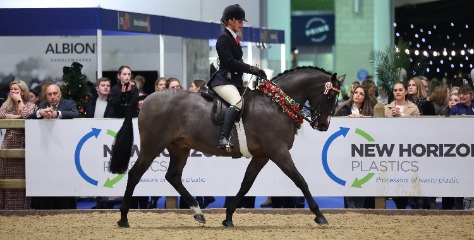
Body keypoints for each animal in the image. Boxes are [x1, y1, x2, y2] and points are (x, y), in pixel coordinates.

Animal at [109, 65, 342, 227]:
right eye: (331, 95)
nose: (323, 125)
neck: (277, 103)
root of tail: (147, 97)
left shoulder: (262, 156)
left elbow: (246, 184)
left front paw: (228, 217)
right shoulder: (278, 152)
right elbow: (300, 181)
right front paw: (320, 216)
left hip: (179, 148)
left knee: (173, 176)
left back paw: (198, 212)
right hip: (153, 145)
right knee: (135, 174)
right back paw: (123, 218)